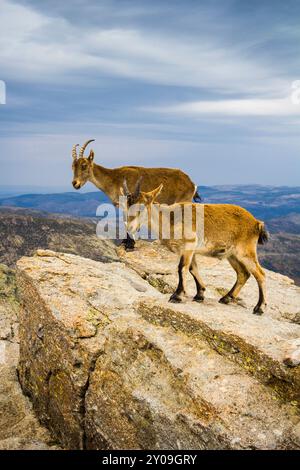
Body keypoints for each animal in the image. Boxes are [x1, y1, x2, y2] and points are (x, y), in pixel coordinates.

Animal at [71, 139, 200, 250]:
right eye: (72, 166)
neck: (114, 179)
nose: (75, 183)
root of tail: (192, 183)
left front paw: (130, 244)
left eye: (84, 165)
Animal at [120, 180, 268, 316]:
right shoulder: (191, 251)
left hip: (245, 251)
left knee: (260, 274)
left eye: (141, 207)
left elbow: (182, 268)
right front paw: (199, 295)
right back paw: (226, 298)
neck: (170, 220)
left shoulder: (188, 246)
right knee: (243, 273)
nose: (130, 228)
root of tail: (256, 223)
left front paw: (177, 296)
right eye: (126, 207)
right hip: (231, 254)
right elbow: (192, 268)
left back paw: (259, 308)